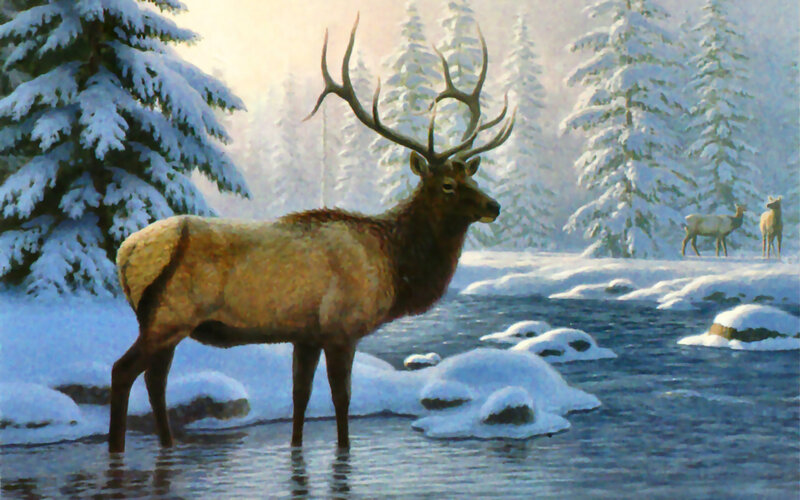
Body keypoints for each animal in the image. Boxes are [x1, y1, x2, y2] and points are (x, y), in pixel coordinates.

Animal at [108, 15, 515, 453]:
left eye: (470, 177)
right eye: (447, 186)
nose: (494, 206)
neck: (393, 264)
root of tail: (126, 252)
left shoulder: (305, 335)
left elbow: (300, 397)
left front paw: (297, 448)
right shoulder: (342, 327)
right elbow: (341, 399)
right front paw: (344, 451)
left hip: (163, 321)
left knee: (156, 380)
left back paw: (167, 446)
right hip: (169, 314)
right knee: (123, 371)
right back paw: (117, 448)